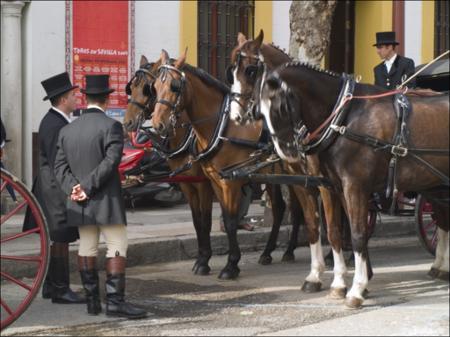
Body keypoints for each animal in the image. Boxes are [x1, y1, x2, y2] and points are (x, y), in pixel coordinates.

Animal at [258, 58, 448, 308]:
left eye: (280, 107)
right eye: (260, 113)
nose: (286, 152)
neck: (344, 117)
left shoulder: (355, 187)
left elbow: (357, 235)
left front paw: (357, 289)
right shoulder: (334, 187)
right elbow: (336, 232)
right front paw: (341, 284)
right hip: (436, 184)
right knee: (443, 220)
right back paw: (440, 266)